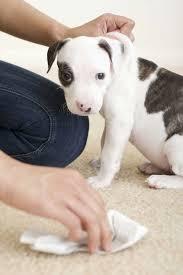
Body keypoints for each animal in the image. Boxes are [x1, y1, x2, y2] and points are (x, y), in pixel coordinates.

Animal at [46, 33, 183, 190]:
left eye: (100, 75)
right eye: (66, 76)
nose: (84, 106)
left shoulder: (119, 123)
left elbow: (109, 154)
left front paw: (101, 180)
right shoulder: (110, 123)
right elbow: (104, 143)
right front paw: (100, 164)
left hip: (174, 144)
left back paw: (161, 180)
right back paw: (152, 167)